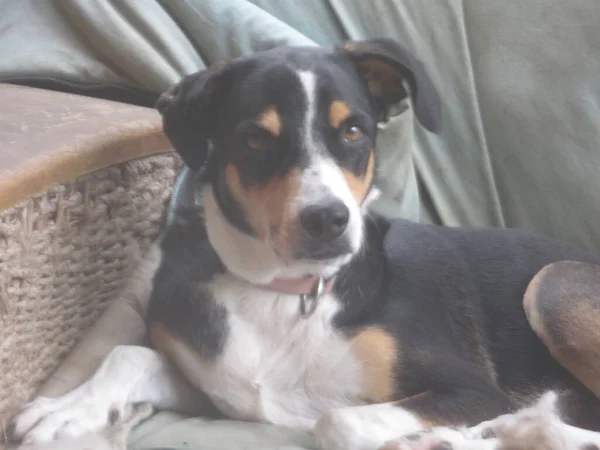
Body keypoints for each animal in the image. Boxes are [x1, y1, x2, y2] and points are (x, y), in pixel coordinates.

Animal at [9, 38, 600, 450]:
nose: (328, 220)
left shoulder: (471, 390)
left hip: (553, 284)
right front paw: (67, 409)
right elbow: (126, 354)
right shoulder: (214, 388)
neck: (285, 292)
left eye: (354, 131)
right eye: (254, 138)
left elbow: (335, 421)